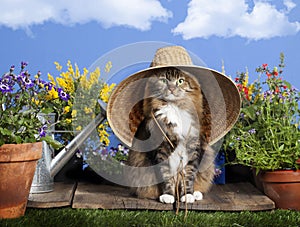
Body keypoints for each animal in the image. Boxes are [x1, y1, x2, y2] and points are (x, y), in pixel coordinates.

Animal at [126, 66, 216, 203]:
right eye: (164, 81)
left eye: (180, 81)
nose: (172, 88)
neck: (175, 108)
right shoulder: (161, 149)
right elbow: (166, 175)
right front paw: (168, 196)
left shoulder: (193, 148)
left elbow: (189, 176)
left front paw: (188, 195)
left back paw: (196, 194)